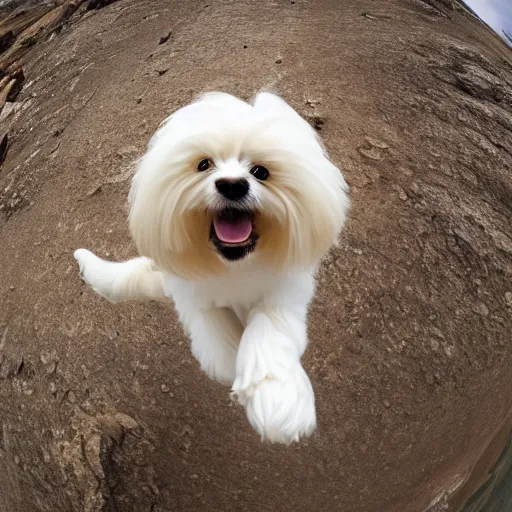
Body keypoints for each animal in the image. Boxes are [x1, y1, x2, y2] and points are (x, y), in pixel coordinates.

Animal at [75, 92, 348, 444]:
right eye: (204, 164)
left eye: (260, 171)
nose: (232, 185)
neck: (234, 264)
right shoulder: (193, 296)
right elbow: (215, 335)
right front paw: (233, 366)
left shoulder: (283, 294)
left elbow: (267, 329)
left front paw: (278, 402)